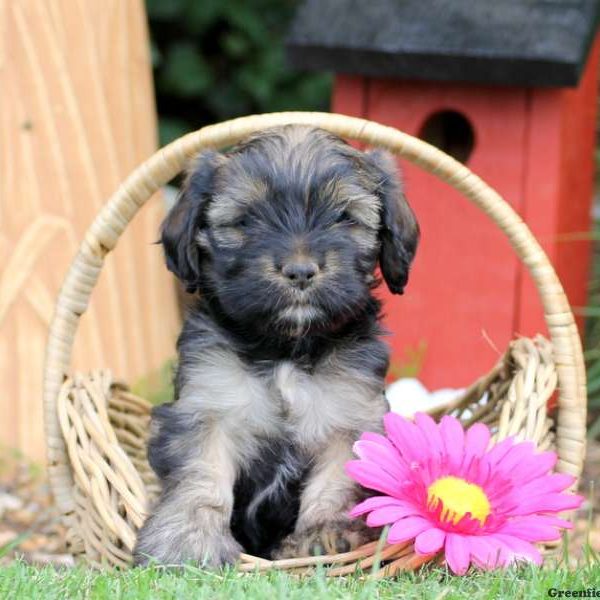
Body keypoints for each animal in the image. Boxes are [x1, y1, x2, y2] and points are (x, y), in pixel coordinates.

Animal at [134, 124, 420, 564]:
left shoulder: (350, 414)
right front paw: (188, 540)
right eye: (246, 219)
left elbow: (337, 478)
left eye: (344, 217)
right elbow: (202, 470)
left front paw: (324, 534)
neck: (285, 348)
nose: (300, 271)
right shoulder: (208, 402)